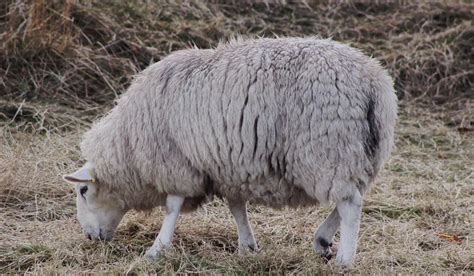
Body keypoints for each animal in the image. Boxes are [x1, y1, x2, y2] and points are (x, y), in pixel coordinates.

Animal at [62, 36, 396, 268]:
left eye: (82, 191)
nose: (90, 238)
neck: (128, 147)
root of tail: (373, 81)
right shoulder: (227, 168)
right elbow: (237, 208)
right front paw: (247, 245)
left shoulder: (176, 162)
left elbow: (172, 207)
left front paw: (157, 248)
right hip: (358, 154)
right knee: (352, 197)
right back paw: (322, 240)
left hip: (328, 149)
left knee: (350, 204)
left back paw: (344, 259)